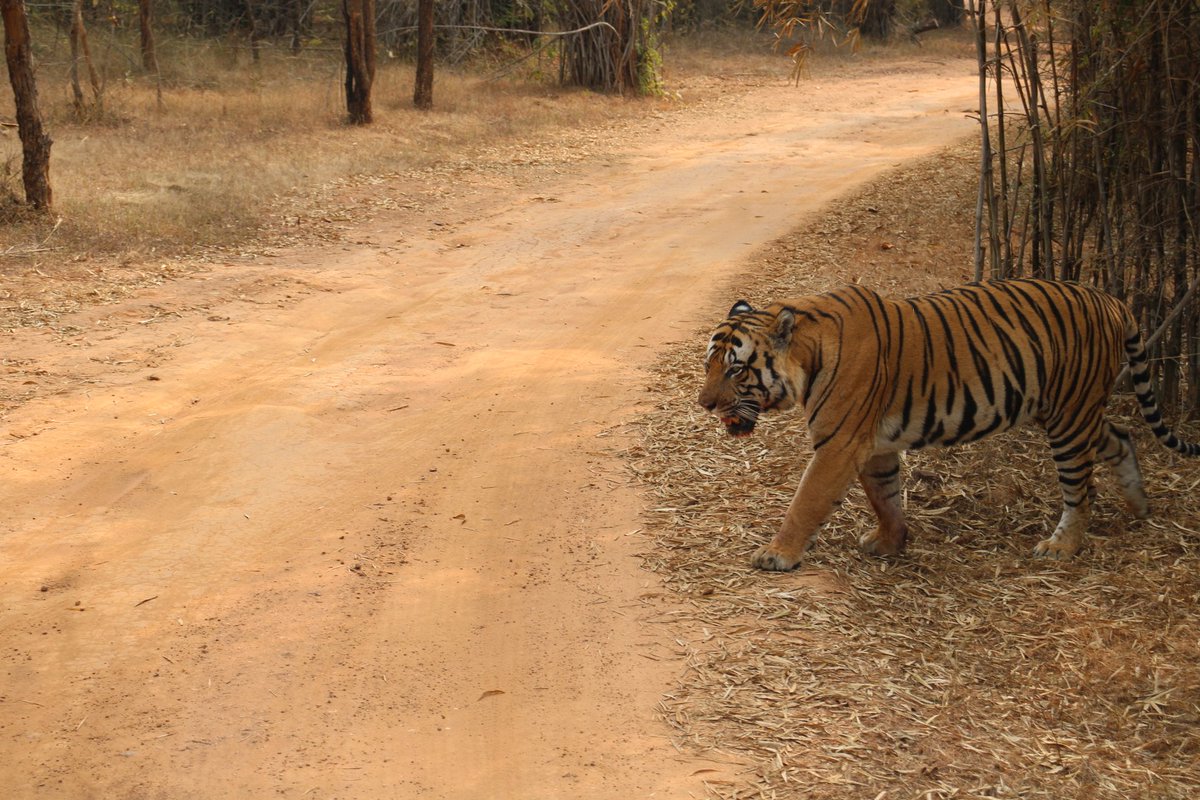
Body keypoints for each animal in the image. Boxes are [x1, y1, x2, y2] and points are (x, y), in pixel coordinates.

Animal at [698, 278, 1200, 571]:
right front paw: (891, 543)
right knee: (1121, 437)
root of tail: (1111, 299)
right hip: (1068, 409)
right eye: (709, 365)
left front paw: (777, 554)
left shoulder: (839, 445)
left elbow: (806, 502)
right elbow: (885, 498)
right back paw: (1140, 506)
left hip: (1070, 417)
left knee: (1081, 489)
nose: (704, 404)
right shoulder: (875, 445)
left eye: (737, 370)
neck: (808, 352)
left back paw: (1062, 547)